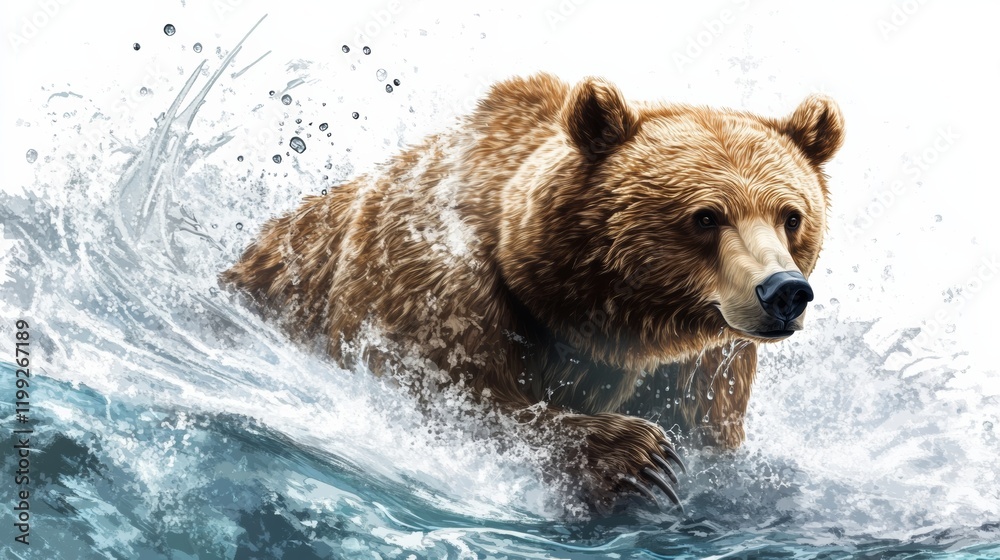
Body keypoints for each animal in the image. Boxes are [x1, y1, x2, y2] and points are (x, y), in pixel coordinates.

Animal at [220, 72, 844, 511]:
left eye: (791, 215)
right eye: (706, 216)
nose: (784, 291)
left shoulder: (705, 360)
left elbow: (711, 433)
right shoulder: (435, 279)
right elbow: (443, 397)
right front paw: (637, 455)